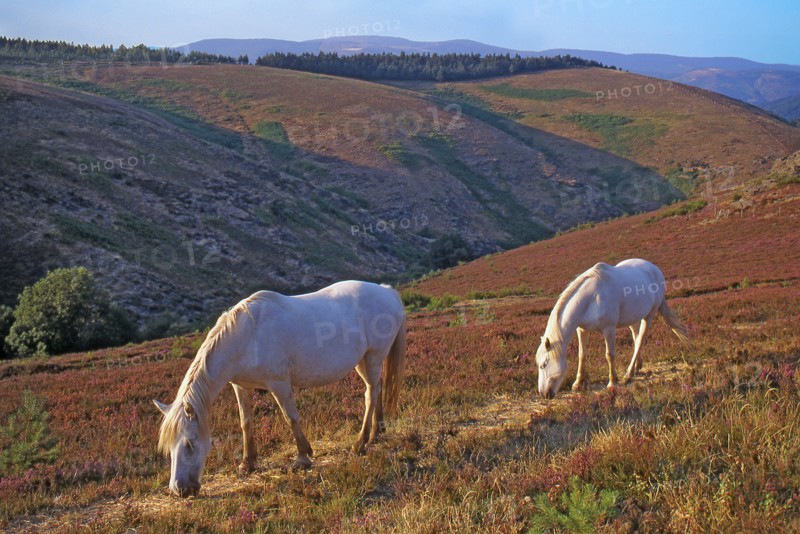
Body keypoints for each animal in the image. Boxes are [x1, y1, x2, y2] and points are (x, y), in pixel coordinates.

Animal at [153, 280, 406, 497]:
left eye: (189, 444)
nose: (179, 490)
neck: (247, 336)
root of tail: (387, 291)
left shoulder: (279, 384)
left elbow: (290, 418)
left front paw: (303, 458)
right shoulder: (240, 387)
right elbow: (246, 423)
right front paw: (247, 463)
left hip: (372, 357)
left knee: (370, 394)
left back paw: (360, 443)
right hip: (364, 361)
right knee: (376, 388)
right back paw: (376, 433)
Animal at [536, 258, 689, 399]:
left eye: (543, 364)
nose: (544, 394)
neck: (592, 298)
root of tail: (654, 269)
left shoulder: (609, 329)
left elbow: (609, 355)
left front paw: (612, 382)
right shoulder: (582, 330)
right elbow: (582, 355)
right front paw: (578, 383)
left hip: (649, 315)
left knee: (640, 340)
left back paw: (628, 375)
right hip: (633, 318)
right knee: (636, 338)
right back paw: (636, 368)